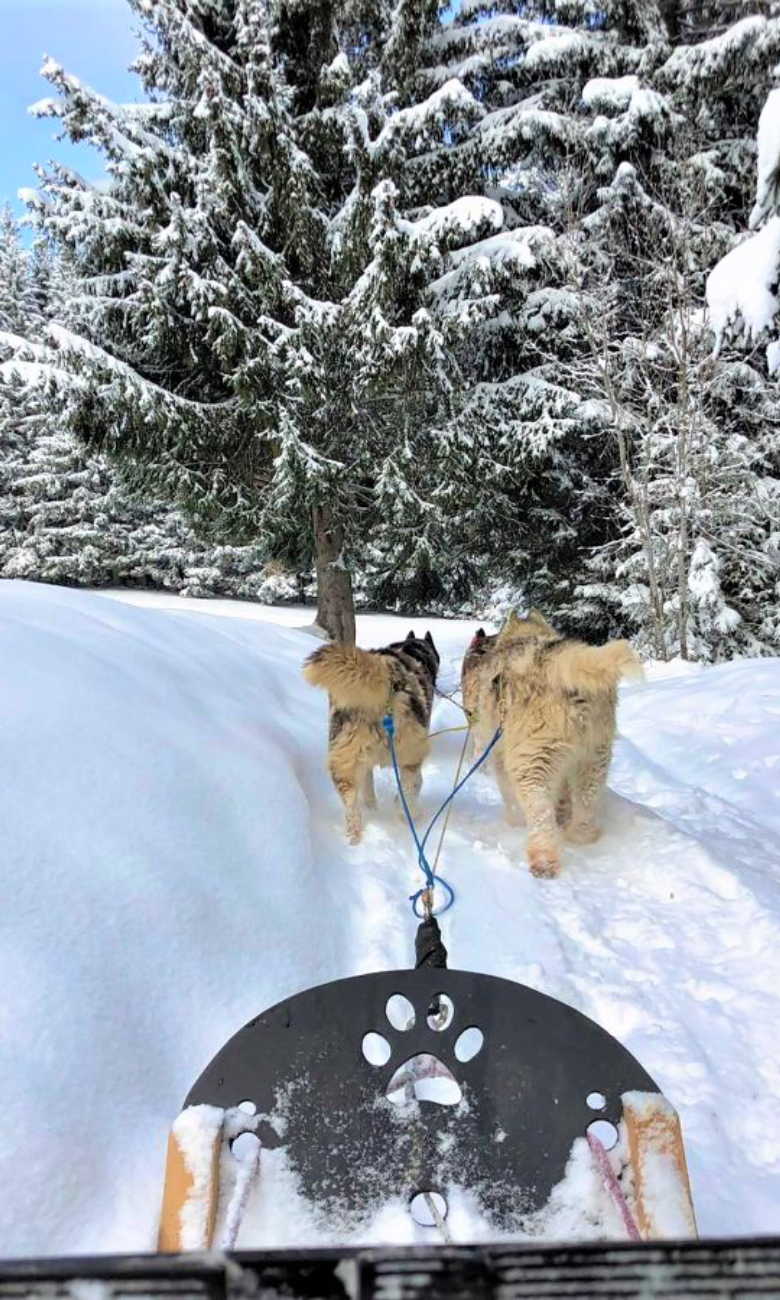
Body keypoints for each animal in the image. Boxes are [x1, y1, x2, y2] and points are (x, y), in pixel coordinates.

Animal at [302, 629, 439, 842]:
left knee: (351, 803)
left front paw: (372, 806)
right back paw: (410, 813)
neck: (414, 650)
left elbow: (368, 785)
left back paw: (354, 835)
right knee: (409, 787)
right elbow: (414, 784)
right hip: (411, 753)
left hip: (344, 762)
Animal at [465, 613, 642, 878]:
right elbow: (563, 798)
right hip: (593, 760)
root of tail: (559, 661)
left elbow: (510, 796)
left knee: (541, 816)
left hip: (530, 764)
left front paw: (513, 821)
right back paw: (581, 836)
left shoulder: (499, 755)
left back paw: (543, 861)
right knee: (586, 804)